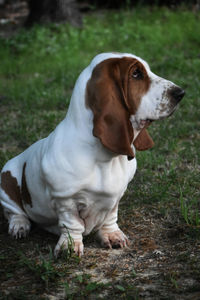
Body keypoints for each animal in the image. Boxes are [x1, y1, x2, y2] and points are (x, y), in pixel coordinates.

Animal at [0, 52, 184, 256]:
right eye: (136, 74)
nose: (180, 93)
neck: (104, 158)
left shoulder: (116, 196)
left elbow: (110, 217)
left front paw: (112, 235)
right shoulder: (65, 200)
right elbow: (71, 223)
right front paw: (69, 247)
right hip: (5, 182)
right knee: (14, 212)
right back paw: (19, 226)